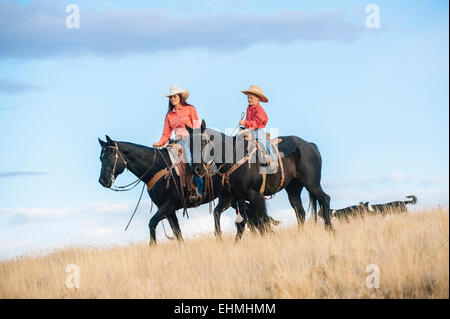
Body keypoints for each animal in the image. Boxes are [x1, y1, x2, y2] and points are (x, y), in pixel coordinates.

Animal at [97, 135, 250, 245]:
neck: (156, 166)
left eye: (110, 155)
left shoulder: (168, 205)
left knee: (242, 221)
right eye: (100, 158)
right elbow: (177, 233)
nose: (103, 181)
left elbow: (152, 223)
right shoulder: (169, 211)